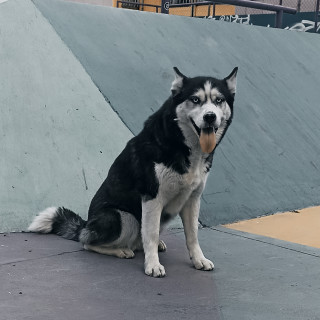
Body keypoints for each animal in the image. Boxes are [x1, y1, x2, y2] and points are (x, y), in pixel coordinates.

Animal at [28, 67, 238, 278]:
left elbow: (192, 235)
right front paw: (152, 264)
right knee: (88, 243)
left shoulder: (192, 200)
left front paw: (198, 260)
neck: (183, 144)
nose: (210, 116)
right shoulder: (152, 197)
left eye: (219, 100)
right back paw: (120, 250)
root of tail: (86, 225)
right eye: (195, 99)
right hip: (122, 218)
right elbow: (151, 234)